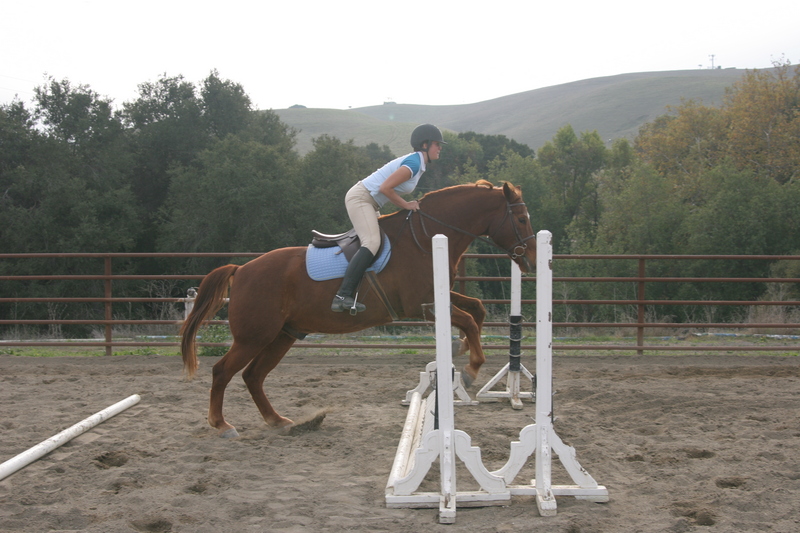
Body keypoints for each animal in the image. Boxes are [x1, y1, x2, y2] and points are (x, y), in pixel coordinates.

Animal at [181, 180, 537, 437]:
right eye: (521, 219)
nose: (532, 261)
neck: (425, 238)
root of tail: (240, 270)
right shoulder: (423, 306)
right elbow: (470, 321)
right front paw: (471, 369)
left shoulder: (438, 297)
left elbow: (476, 310)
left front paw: (461, 350)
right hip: (254, 336)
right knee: (223, 371)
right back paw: (221, 425)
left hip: (283, 335)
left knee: (253, 375)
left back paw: (279, 420)